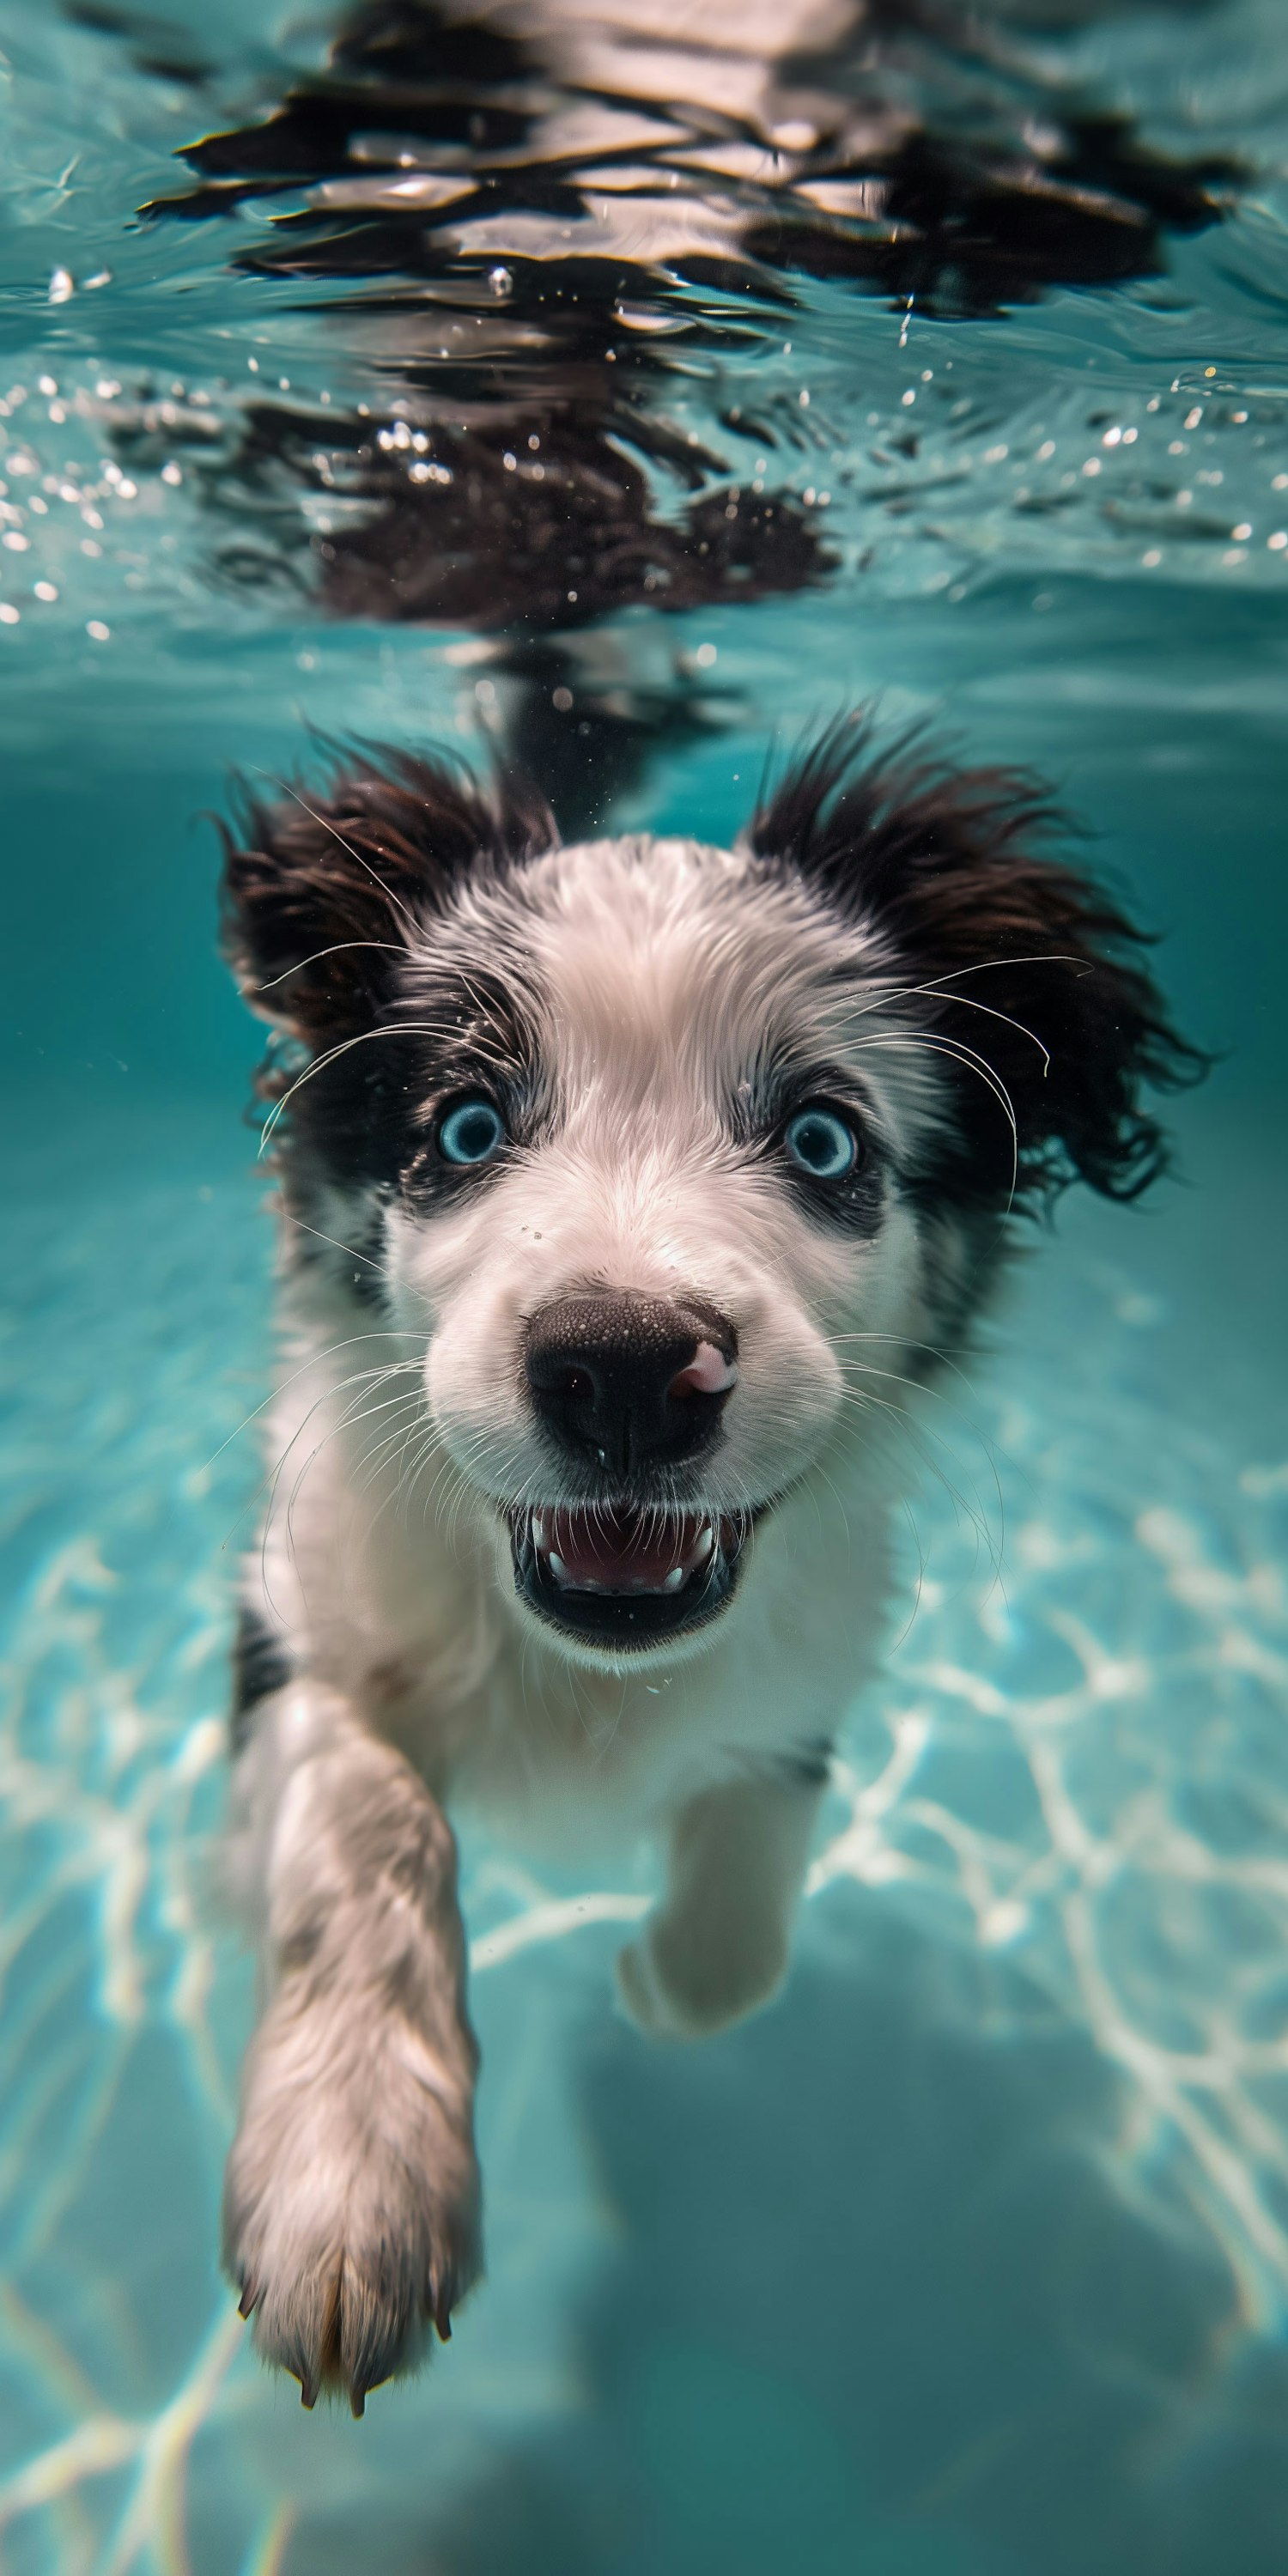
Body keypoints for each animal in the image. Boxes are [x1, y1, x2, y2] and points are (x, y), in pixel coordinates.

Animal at [214, 721, 1195, 2411]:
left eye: (822, 1139)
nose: (620, 1373)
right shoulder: (301, 1618)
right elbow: (365, 1822)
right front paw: (354, 2183)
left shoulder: (811, 1653)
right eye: (466, 1129)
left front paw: (661, 1985)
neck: (587, 1660)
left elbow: (751, 1888)